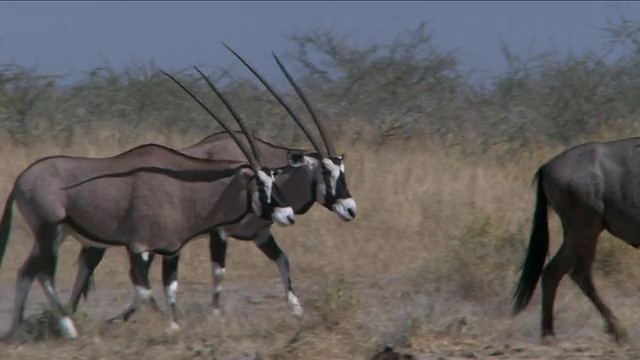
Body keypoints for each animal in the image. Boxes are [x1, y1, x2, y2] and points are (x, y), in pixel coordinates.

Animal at [0, 64, 304, 344]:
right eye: (261, 184)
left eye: (275, 178)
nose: (289, 215)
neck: (183, 189)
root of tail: (21, 180)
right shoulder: (138, 248)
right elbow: (143, 289)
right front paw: (155, 324)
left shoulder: (171, 250)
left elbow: (169, 287)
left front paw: (174, 322)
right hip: (49, 232)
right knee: (44, 275)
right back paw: (68, 329)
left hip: (57, 234)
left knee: (26, 272)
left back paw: (17, 331)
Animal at [68, 44, 358, 320]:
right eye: (325, 171)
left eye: (342, 169)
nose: (350, 209)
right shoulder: (219, 232)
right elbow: (219, 272)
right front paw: (216, 312)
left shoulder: (260, 234)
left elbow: (284, 260)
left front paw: (296, 309)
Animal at [510, 137, 640, 344]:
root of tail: (546, 166)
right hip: (585, 231)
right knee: (579, 273)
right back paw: (618, 330)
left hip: (576, 235)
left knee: (552, 272)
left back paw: (548, 333)